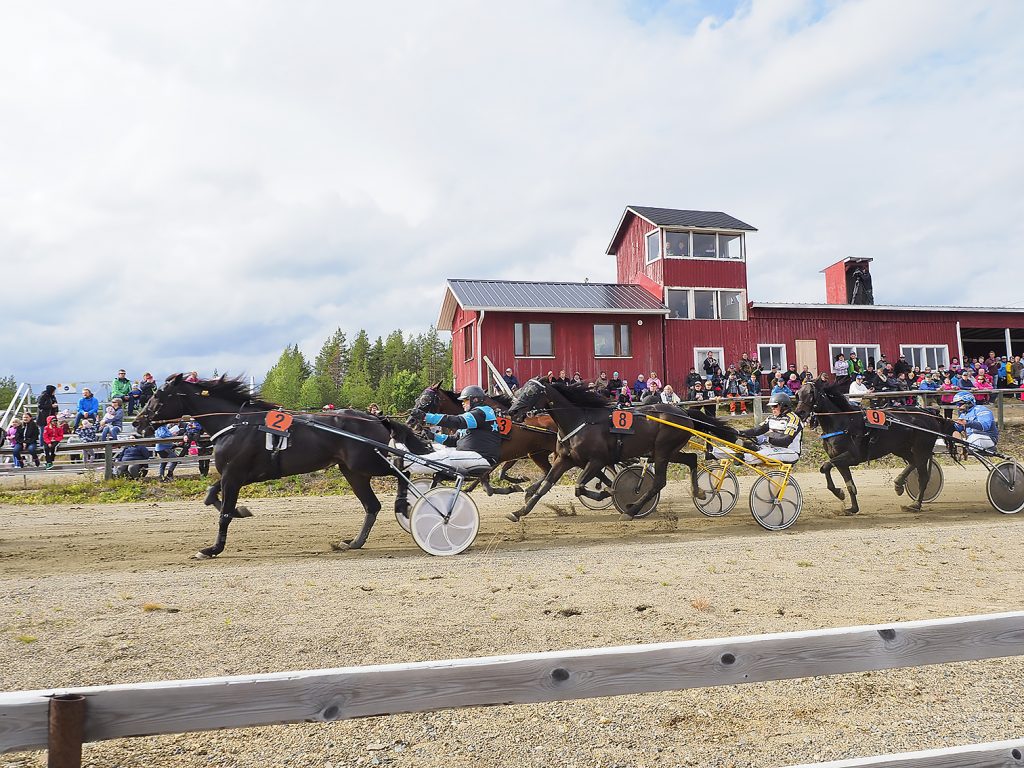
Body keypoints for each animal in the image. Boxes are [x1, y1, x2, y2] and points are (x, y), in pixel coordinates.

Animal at [131, 374, 428, 561]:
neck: (235, 422)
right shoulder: (236, 474)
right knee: (372, 505)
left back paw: (403, 504)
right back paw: (354, 542)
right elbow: (210, 495)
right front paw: (241, 510)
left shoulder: (234, 475)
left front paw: (212, 548)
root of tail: (376, 418)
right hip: (353, 471)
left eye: (158, 395)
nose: (137, 421)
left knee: (403, 471)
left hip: (366, 462)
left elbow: (223, 514)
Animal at [503, 380, 737, 524]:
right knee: (691, 459)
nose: (512, 411)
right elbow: (545, 486)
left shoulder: (597, 460)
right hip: (667, 451)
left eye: (531, 392)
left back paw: (631, 511)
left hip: (663, 451)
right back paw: (699, 492)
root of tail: (683, 412)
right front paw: (519, 512)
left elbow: (579, 486)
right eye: (520, 390)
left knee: (659, 482)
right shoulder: (565, 459)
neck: (580, 421)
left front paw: (606, 492)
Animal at [794, 380, 954, 518]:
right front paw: (852, 508)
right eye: (798, 394)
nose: (799, 412)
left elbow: (825, 466)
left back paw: (915, 504)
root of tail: (930, 415)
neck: (842, 422)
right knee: (912, 462)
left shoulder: (852, 457)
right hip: (901, 448)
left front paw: (839, 493)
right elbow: (848, 484)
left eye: (811, 393)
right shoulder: (840, 460)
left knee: (923, 477)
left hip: (921, 449)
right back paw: (898, 484)